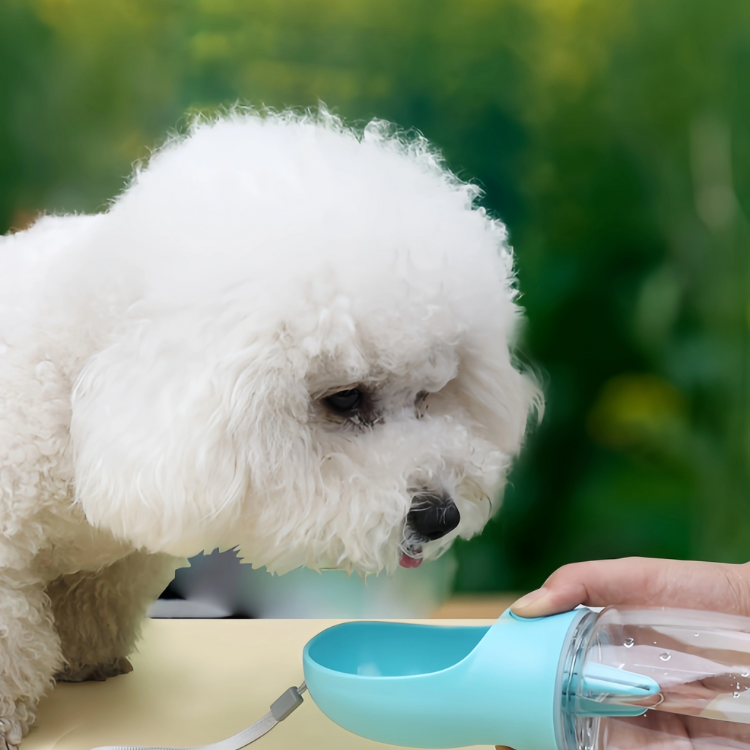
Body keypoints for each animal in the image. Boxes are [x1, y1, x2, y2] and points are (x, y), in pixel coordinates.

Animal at [0, 108, 540, 748]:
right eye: (345, 398)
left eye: (429, 393)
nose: (441, 518)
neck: (76, 387)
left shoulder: (114, 557)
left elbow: (94, 598)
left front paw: (91, 662)